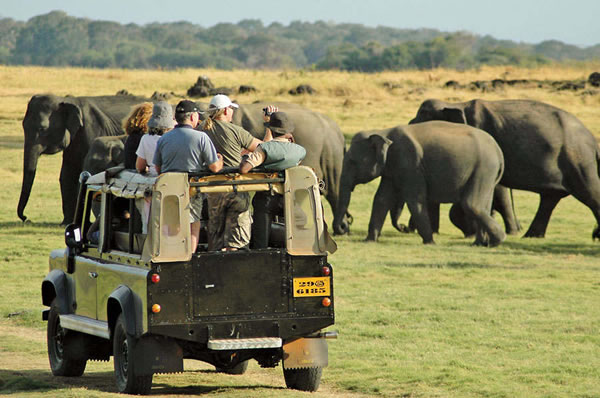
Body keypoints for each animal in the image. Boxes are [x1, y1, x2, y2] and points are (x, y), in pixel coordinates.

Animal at [19, 93, 150, 224]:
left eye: (42, 129)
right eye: (23, 125)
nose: (26, 218)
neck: (67, 100)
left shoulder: (92, 130)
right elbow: (67, 173)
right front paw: (66, 223)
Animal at [332, 121, 506, 246]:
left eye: (352, 162)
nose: (344, 226)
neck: (383, 132)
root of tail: (499, 152)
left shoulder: (411, 163)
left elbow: (415, 200)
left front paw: (430, 243)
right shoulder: (392, 168)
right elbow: (381, 199)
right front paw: (369, 241)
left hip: (483, 168)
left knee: (471, 204)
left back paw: (498, 240)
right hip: (487, 174)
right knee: (484, 205)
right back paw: (480, 243)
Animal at [410, 98, 600, 238]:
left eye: (422, 118)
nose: (407, 228)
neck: (457, 103)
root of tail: (592, 139)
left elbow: (497, 190)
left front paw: (474, 231)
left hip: (577, 160)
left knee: (589, 193)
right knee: (550, 198)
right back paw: (531, 235)